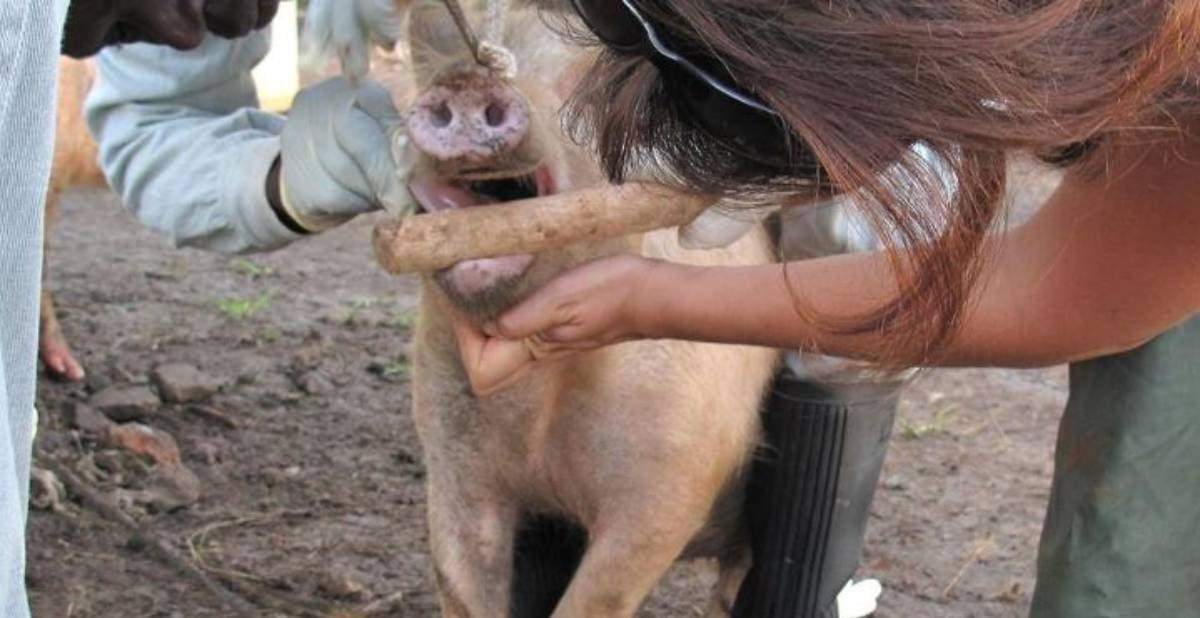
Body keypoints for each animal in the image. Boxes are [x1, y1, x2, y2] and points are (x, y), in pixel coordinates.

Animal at [384, 2, 780, 615]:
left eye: (583, 93)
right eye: (434, 69)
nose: (469, 79)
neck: (537, 414)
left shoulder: (673, 472)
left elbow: (600, 593)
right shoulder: (449, 452)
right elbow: (462, 576)